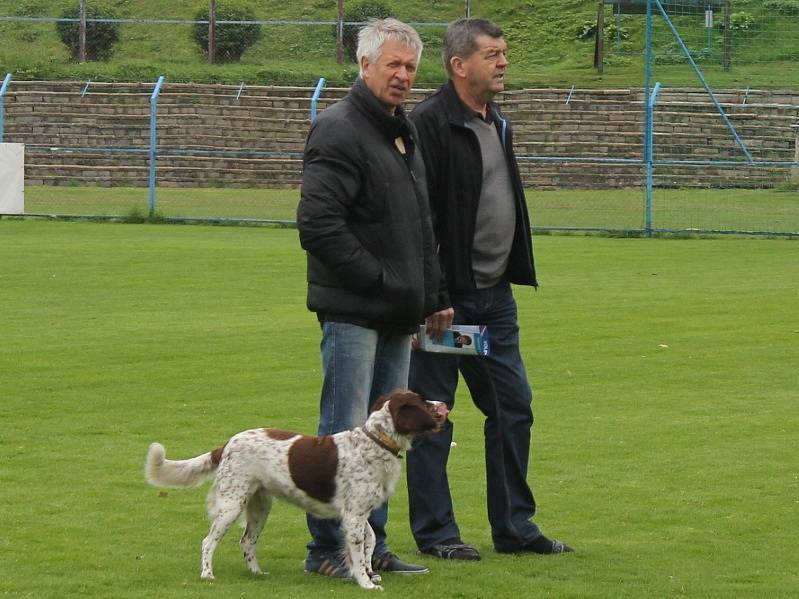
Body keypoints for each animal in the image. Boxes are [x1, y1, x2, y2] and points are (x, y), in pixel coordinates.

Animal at [144, 392, 444, 592]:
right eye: (422, 403)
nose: (443, 404)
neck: (375, 443)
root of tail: (227, 443)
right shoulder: (353, 515)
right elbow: (358, 550)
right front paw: (366, 582)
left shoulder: (358, 513)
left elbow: (369, 541)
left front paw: (370, 573)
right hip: (232, 503)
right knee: (208, 542)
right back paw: (207, 574)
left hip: (260, 506)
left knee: (247, 541)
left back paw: (257, 573)